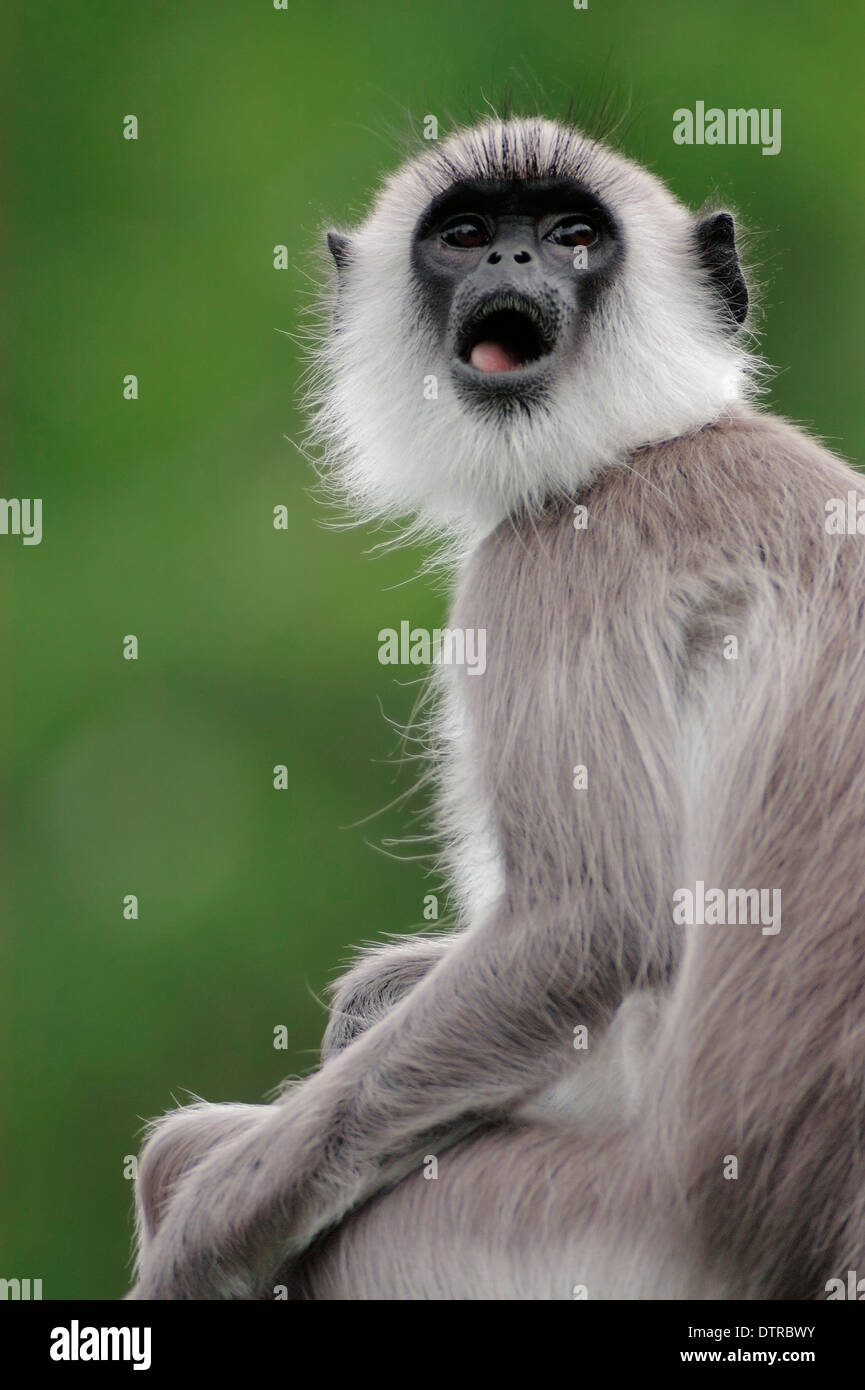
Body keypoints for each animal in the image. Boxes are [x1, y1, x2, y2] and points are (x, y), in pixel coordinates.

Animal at [128, 119, 865, 1301]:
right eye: (467, 234)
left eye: (572, 237)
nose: (513, 262)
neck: (647, 443)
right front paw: (372, 996)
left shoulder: (556, 561)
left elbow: (588, 920)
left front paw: (203, 1230)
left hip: (565, 1234)